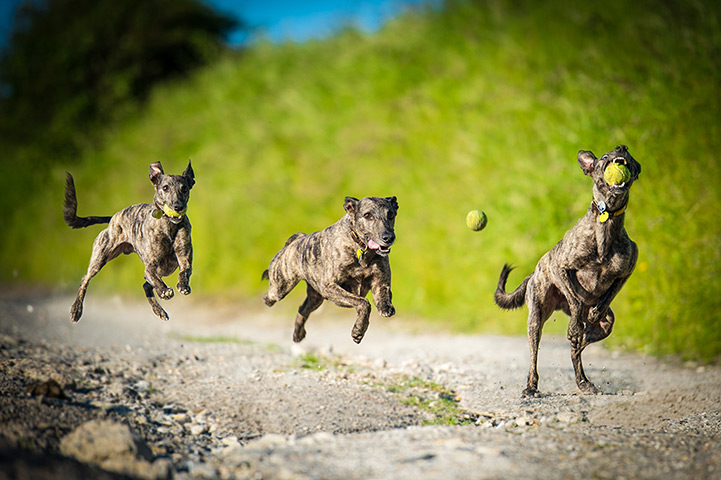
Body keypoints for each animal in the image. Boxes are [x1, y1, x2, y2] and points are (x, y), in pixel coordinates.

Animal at [63, 160, 194, 322]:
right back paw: (76, 310)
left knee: (146, 285)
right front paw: (164, 290)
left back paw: (159, 311)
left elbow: (184, 271)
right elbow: (154, 278)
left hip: (165, 269)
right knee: (84, 279)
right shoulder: (150, 266)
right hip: (100, 257)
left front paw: (183, 286)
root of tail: (112, 218)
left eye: (184, 188)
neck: (169, 226)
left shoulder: (184, 260)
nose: (178, 206)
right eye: (165, 188)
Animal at [262, 195, 400, 344]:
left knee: (302, 310)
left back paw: (298, 334)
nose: (388, 237)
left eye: (391, 215)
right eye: (367, 215)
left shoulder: (380, 283)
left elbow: (382, 297)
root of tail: (295, 241)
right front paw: (358, 331)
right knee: (269, 297)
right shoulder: (330, 287)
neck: (360, 248)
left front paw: (385, 307)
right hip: (280, 288)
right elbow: (364, 303)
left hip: (316, 298)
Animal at [496, 146, 640, 398]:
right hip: (536, 318)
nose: (621, 148)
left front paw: (595, 312)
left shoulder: (625, 273)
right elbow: (576, 300)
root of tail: (532, 275)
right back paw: (531, 386)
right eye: (604, 157)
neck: (606, 224)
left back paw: (583, 380)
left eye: (629, 155)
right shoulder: (559, 266)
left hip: (606, 327)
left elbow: (607, 296)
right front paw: (578, 317)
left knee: (578, 349)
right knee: (537, 353)